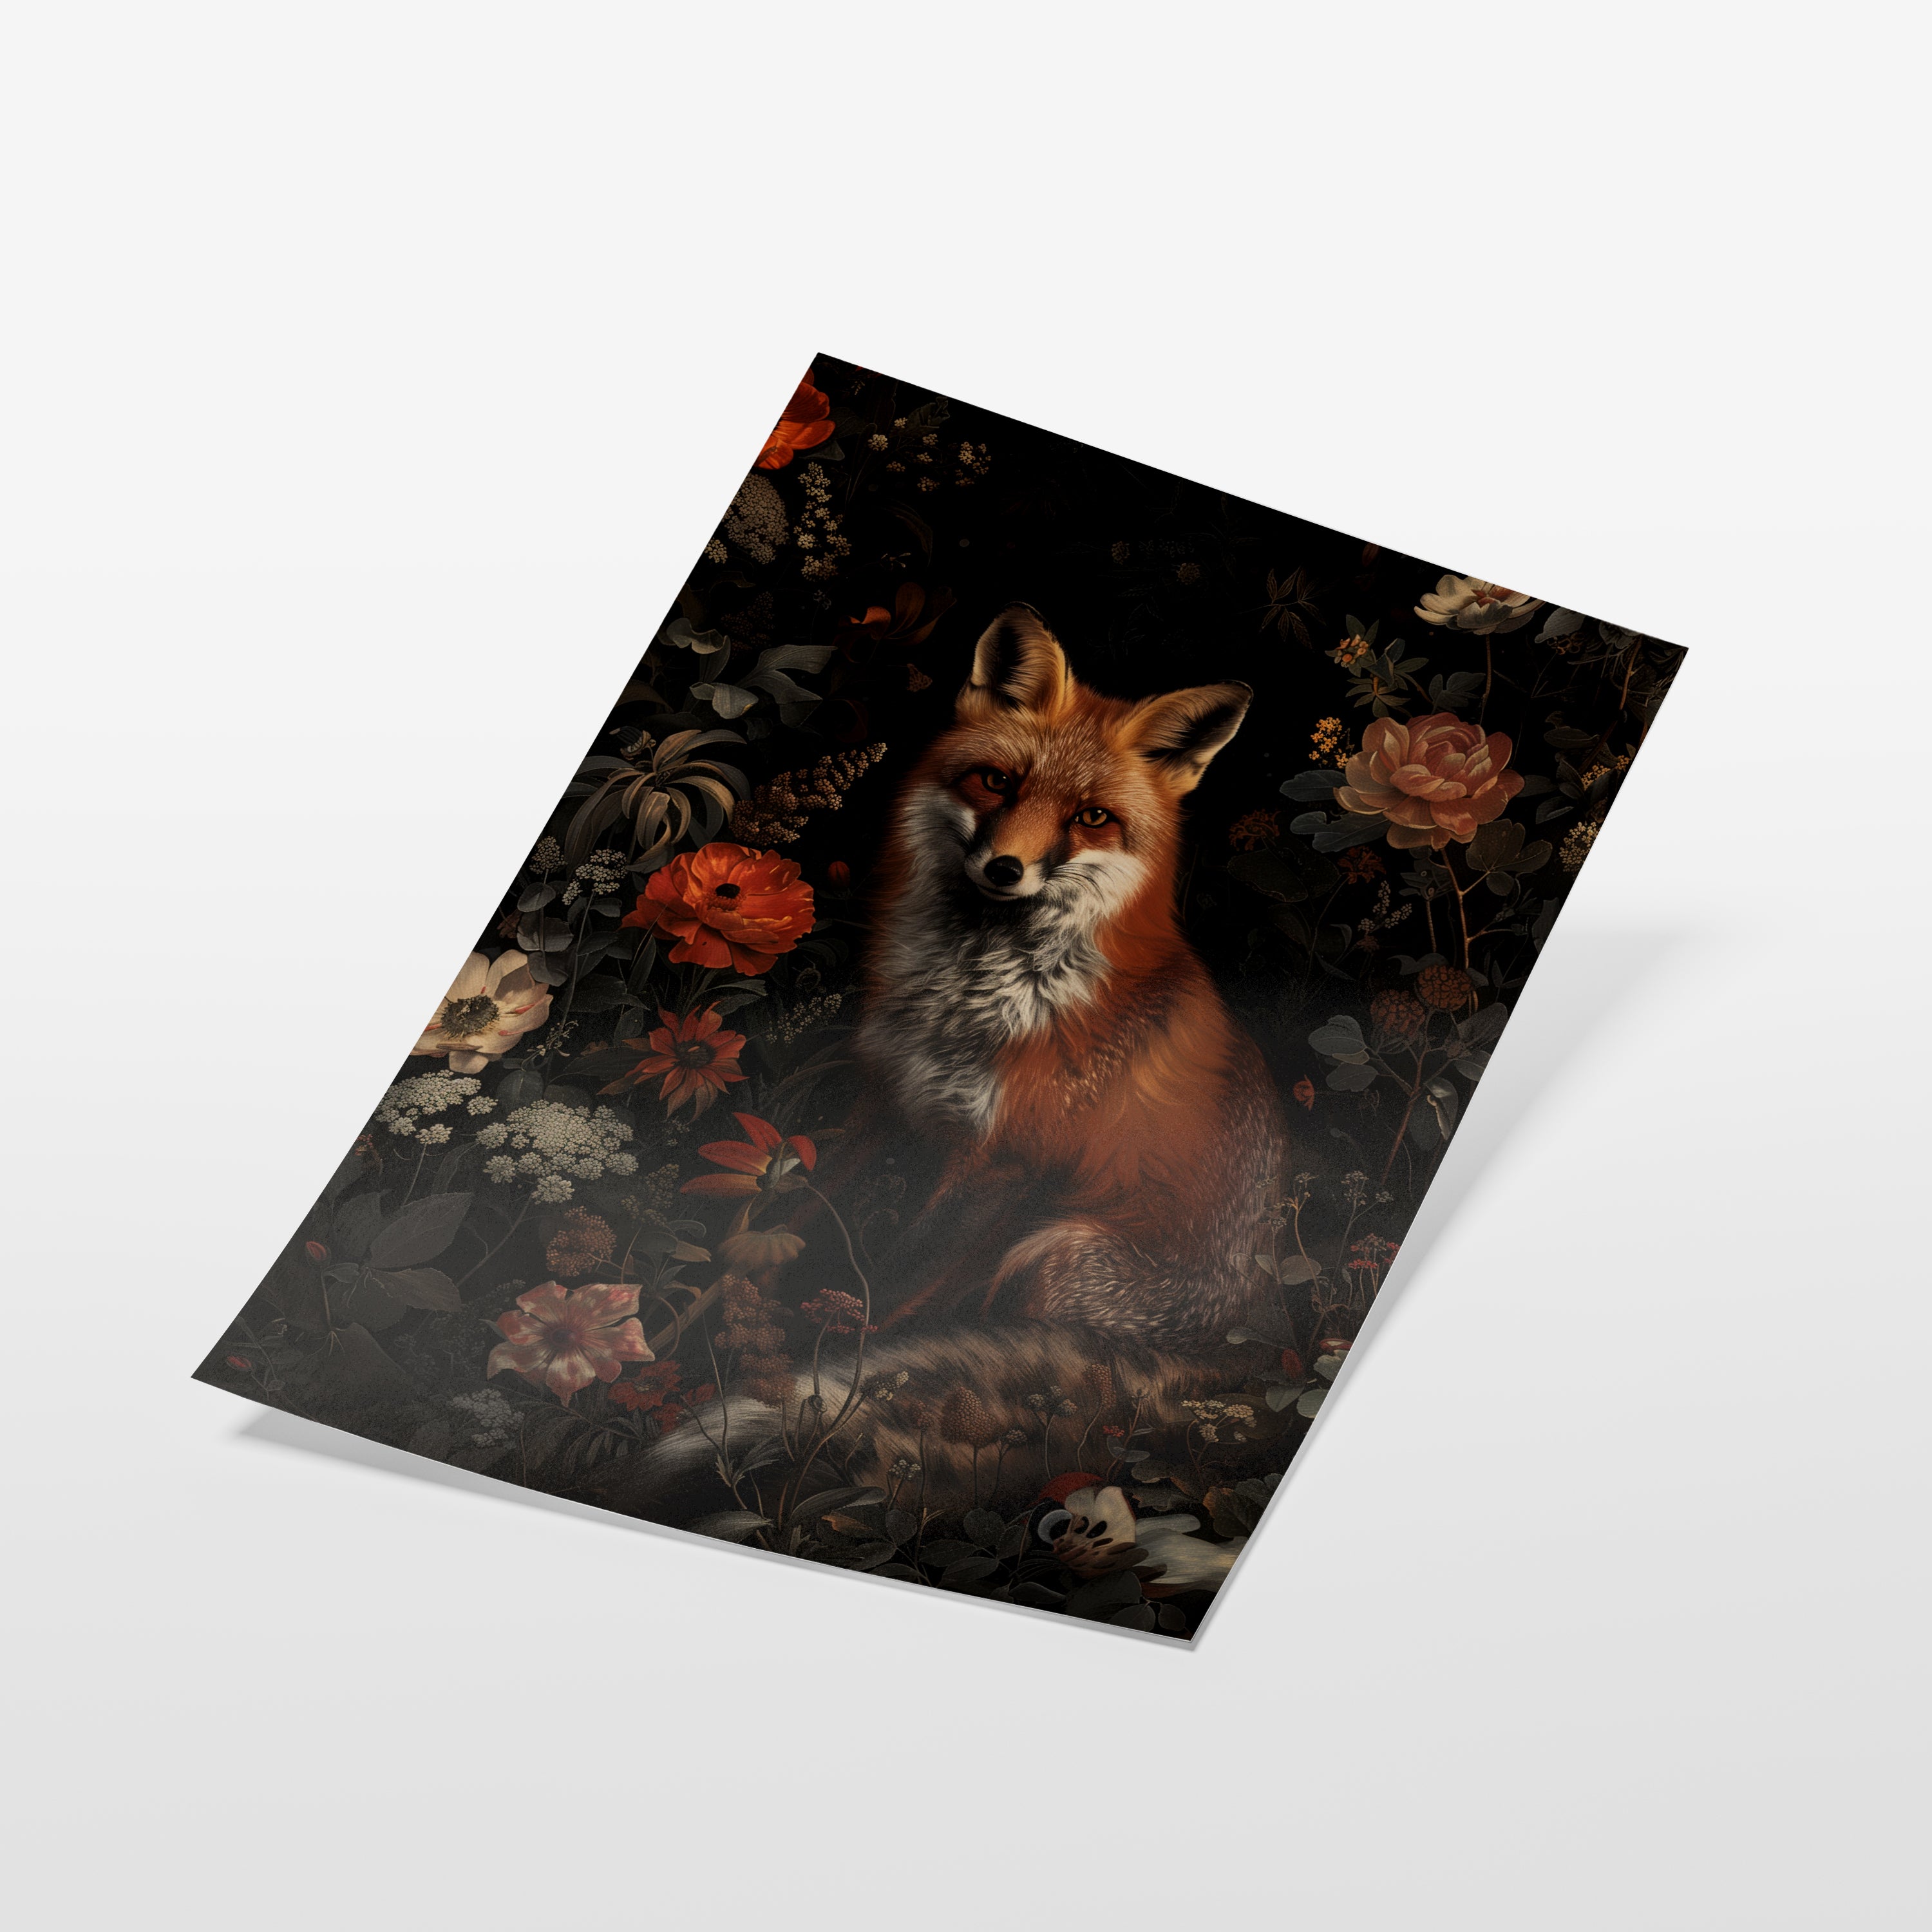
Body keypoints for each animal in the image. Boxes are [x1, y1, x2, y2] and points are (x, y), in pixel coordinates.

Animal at [603, 605, 1286, 1519]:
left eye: (1092, 818)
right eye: (996, 782)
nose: (1006, 868)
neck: (969, 1003)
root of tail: (1264, 1352)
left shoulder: (1002, 1164)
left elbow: (890, 1296)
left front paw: (814, 1392)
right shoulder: (882, 1108)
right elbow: (781, 1238)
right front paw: (668, 1343)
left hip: (1052, 1258)